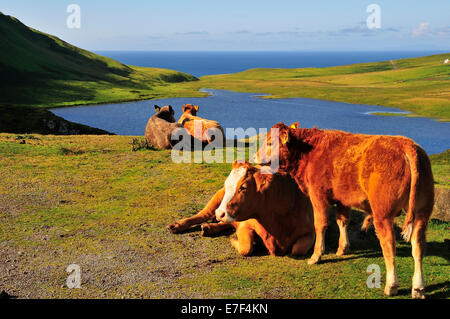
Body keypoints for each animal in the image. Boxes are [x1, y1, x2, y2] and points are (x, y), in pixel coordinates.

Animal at [167, 162, 314, 258]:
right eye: (227, 184)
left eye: (243, 187)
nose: (219, 213)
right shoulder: (245, 225)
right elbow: (246, 248)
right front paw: (235, 240)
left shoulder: (311, 231)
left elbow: (298, 249)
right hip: (216, 199)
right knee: (201, 215)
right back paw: (177, 225)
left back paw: (210, 227)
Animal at [255, 122, 434, 300]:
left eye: (270, 142)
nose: (255, 157)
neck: (309, 152)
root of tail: (406, 144)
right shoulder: (343, 199)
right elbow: (342, 221)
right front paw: (343, 248)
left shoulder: (317, 196)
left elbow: (320, 225)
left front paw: (316, 256)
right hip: (422, 213)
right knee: (418, 247)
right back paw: (418, 288)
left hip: (383, 214)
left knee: (389, 245)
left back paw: (391, 286)